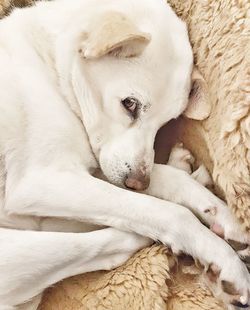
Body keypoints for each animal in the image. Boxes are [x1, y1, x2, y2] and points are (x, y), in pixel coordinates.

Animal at [0, 0, 249, 308]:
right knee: (110, 243)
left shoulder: (99, 167)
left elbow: (170, 181)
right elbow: (170, 213)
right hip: (17, 252)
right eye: (130, 104)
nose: (138, 183)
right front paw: (224, 258)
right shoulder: (43, 180)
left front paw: (223, 214)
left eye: (167, 122)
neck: (49, 63)